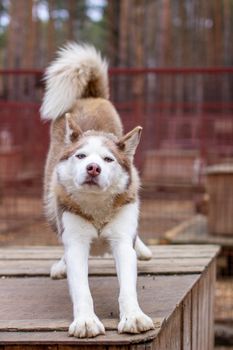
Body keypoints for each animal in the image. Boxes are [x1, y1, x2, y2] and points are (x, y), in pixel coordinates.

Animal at [40, 42, 155, 338]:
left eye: (108, 159)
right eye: (81, 156)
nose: (93, 168)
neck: (97, 209)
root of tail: (90, 96)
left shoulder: (122, 239)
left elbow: (128, 285)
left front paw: (134, 316)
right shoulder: (76, 241)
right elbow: (81, 287)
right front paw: (85, 321)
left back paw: (143, 249)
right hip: (50, 203)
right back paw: (60, 265)